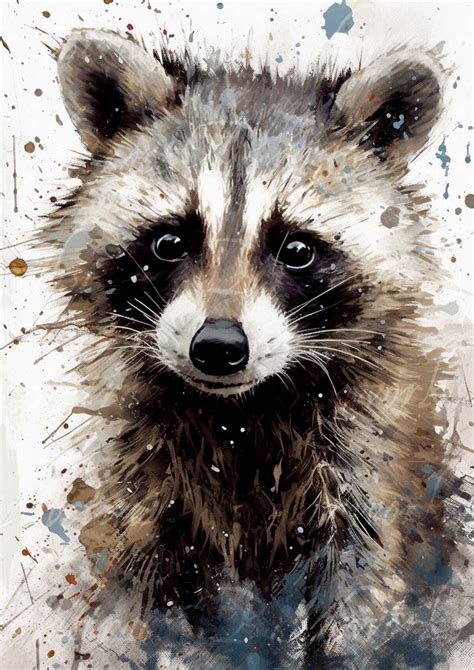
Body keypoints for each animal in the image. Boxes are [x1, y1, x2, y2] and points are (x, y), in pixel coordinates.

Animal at [41, 28, 455, 666]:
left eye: (297, 250)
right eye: (169, 241)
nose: (218, 346)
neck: (239, 416)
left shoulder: (373, 460)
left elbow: (363, 581)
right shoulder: (141, 475)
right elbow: (130, 582)